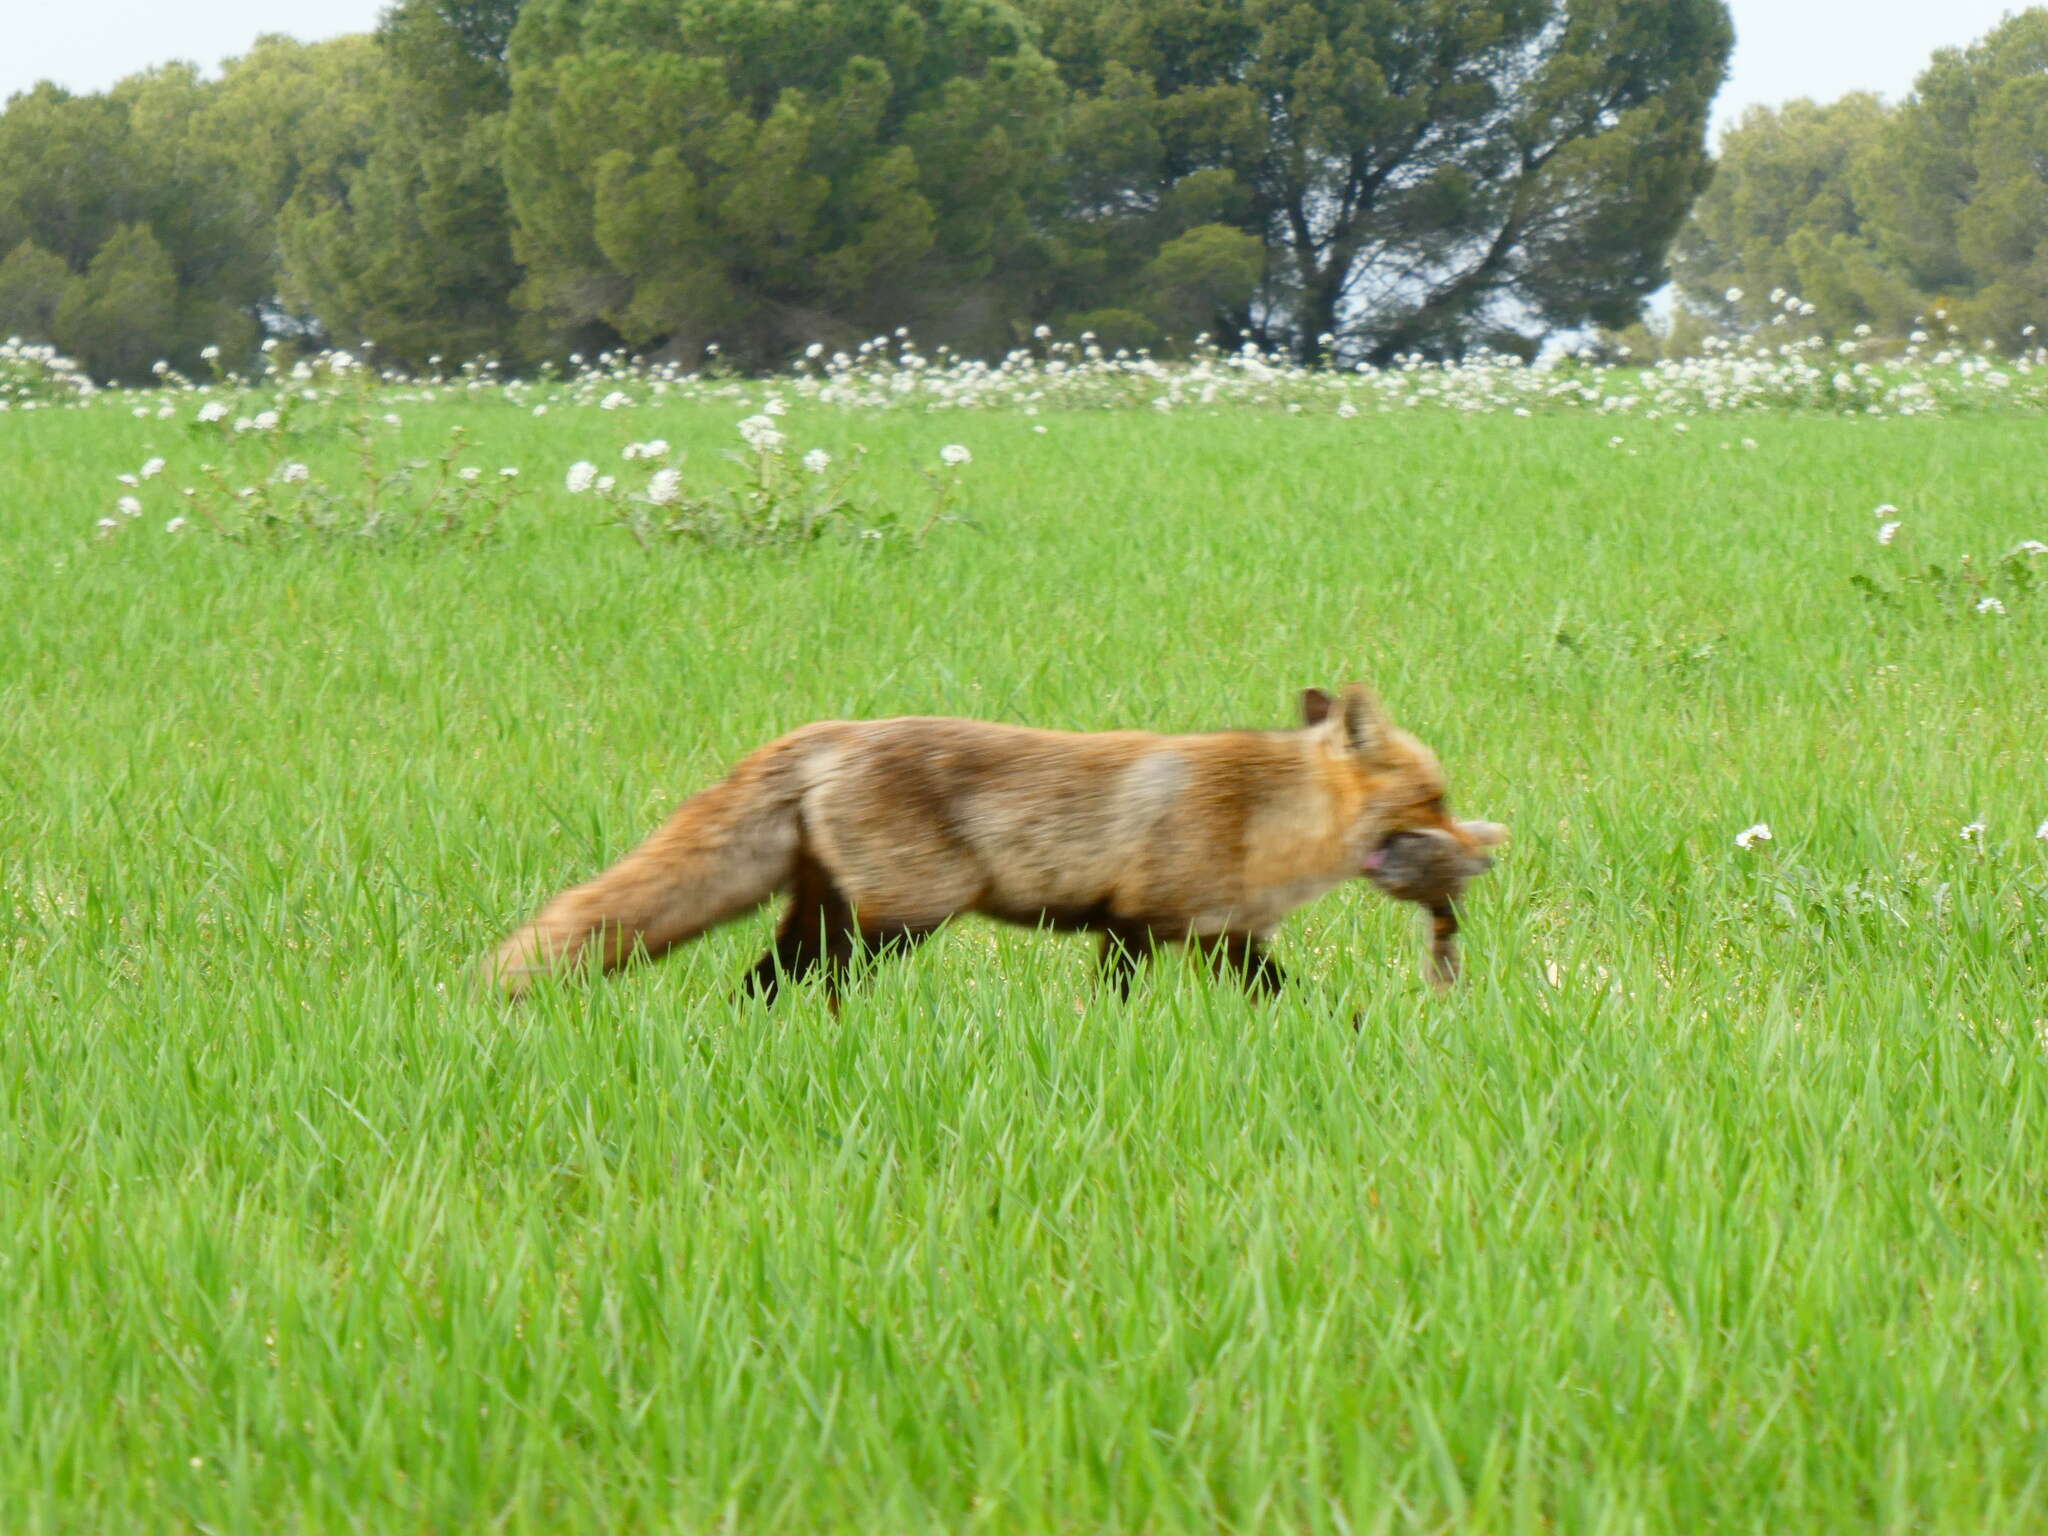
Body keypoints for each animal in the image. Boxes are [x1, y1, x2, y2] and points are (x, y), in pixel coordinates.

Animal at [485, 688, 1499, 1003]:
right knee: (821, 985)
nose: (1487, 851)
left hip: (822, 915)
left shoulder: (1215, 937)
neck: (1263, 818)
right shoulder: (1145, 922)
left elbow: (1290, 1004)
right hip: (897, 921)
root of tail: (826, 735)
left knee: (760, 987)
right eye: (1437, 800)